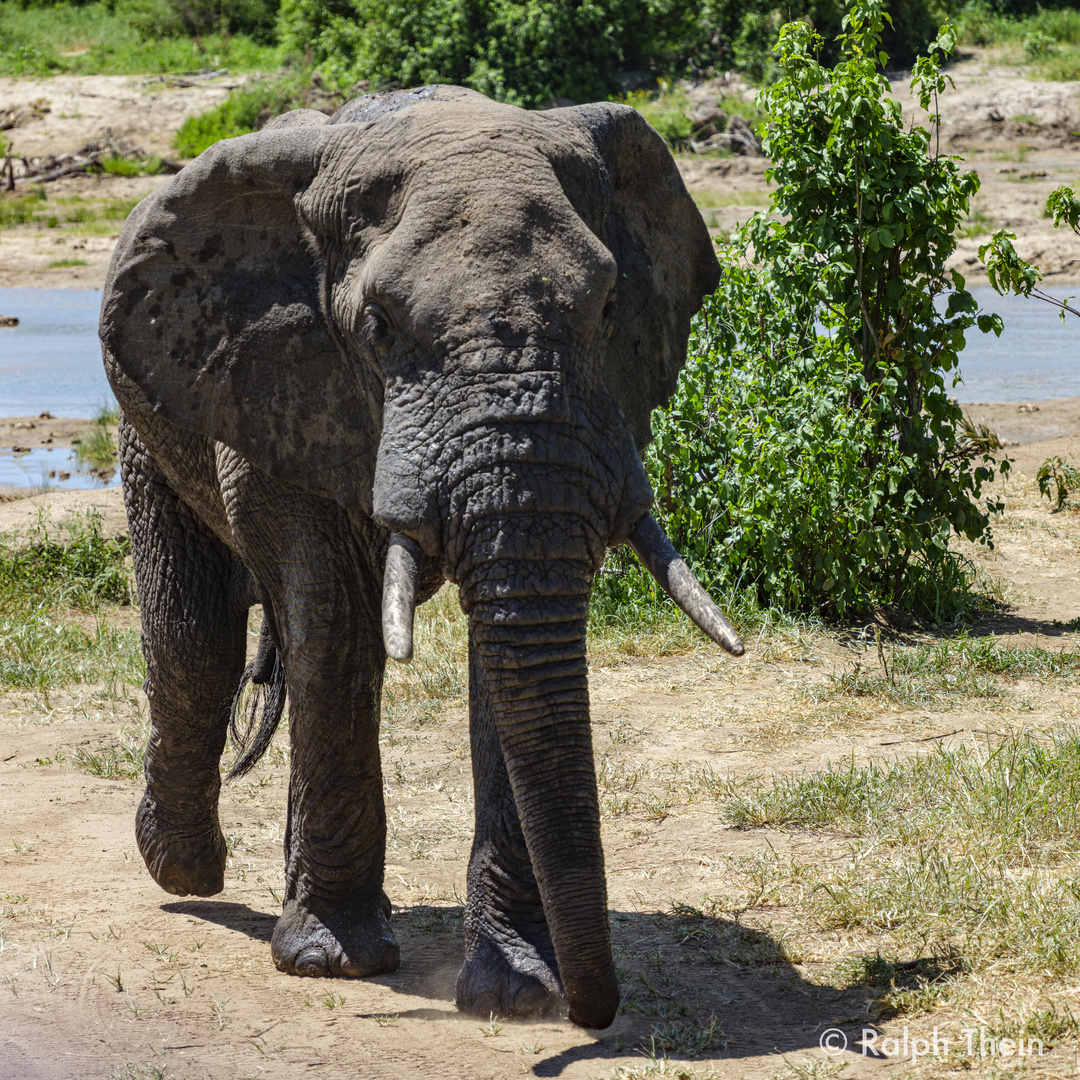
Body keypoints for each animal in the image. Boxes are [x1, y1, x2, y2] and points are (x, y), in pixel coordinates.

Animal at [99, 84, 743, 1028]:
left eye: (608, 311)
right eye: (377, 326)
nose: (594, 1012)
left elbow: (508, 655)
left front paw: (519, 991)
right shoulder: (282, 378)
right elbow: (335, 629)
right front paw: (330, 964)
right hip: (154, 413)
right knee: (195, 640)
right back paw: (184, 870)